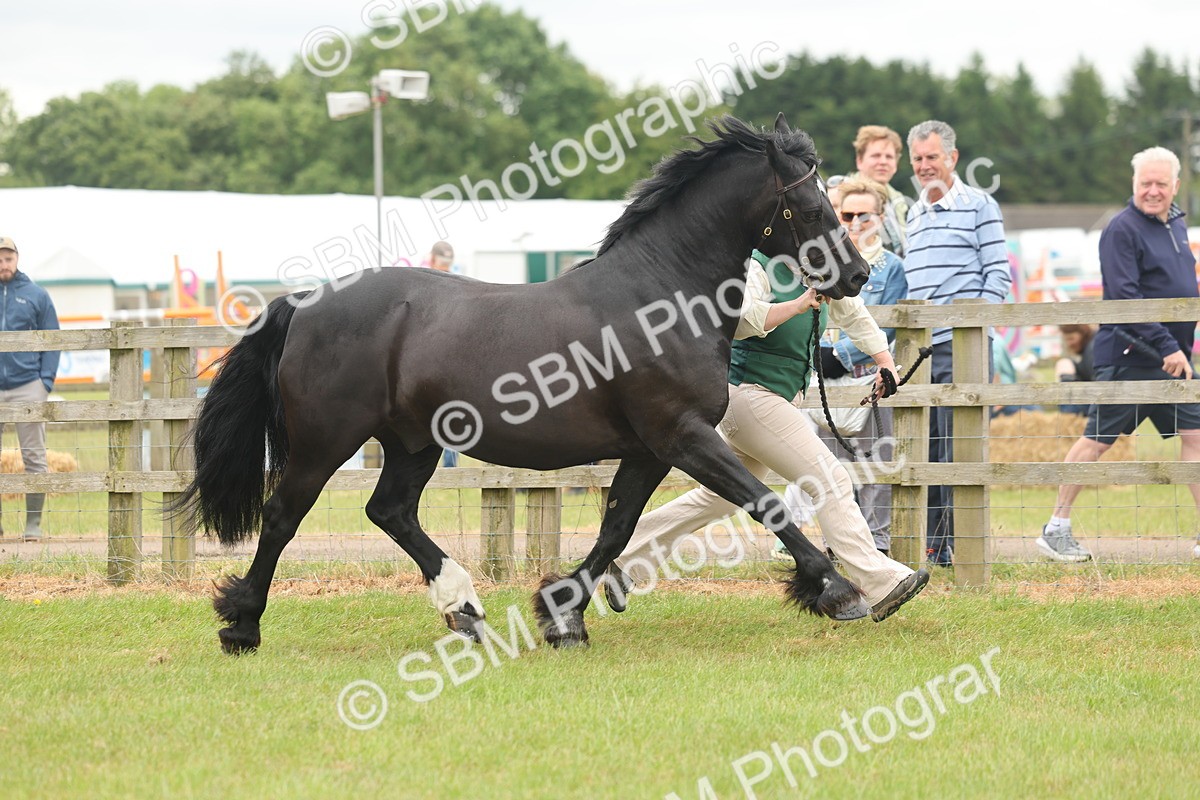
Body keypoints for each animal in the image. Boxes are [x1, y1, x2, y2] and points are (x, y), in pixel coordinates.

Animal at [176, 113, 872, 653]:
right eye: (814, 207)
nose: (859, 275)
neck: (660, 296)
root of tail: (304, 304)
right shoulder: (684, 436)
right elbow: (766, 501)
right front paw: (837, 590)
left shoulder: (649, 450)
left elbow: (615, 529)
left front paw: (563, 616)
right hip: (328, 440)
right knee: (282, 515)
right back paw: (242, 625)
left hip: (414, 442)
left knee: (389, 510)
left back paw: (463, 608)